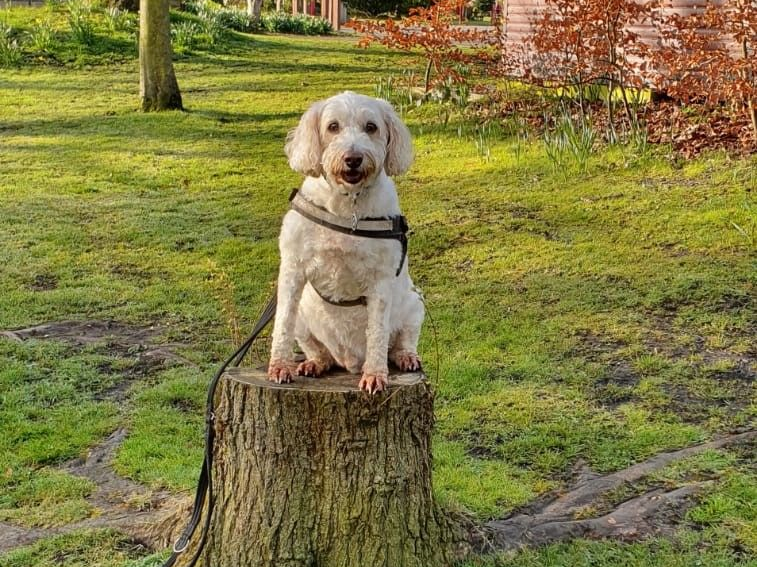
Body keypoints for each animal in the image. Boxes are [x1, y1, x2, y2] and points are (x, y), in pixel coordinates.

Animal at [268, 92, 422, 394]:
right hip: (305, 316)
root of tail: (348, 361)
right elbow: (282, 322)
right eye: (333, 127)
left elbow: (377, 333)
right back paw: (315, 363)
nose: (353, 158)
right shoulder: (292, 269)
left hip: (414, 303)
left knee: (400, 342)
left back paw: (405, 357)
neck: (347, 206)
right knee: (319, 351)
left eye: (371, 127)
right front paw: (280, 365)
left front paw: (375, 374)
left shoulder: (381, 281)